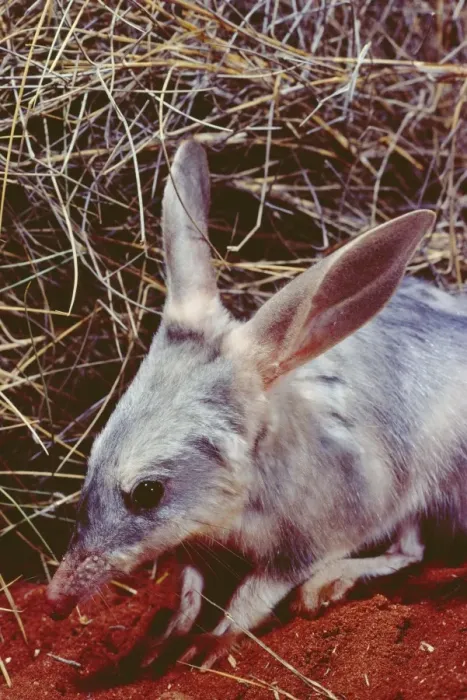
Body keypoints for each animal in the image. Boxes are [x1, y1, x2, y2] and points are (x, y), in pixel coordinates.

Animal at [47, 139, 467, 669]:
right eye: (92, 457)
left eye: (147, 492)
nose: (55, 600)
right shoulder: (193, 540)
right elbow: (189, 584)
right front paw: (168, 635)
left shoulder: (308, 538)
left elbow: (251, 595)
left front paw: (210, 642)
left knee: (411, 550)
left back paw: (330, 584)